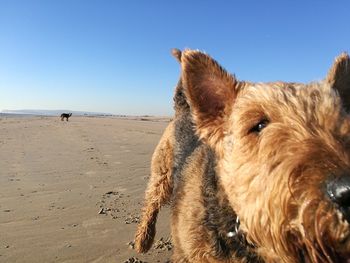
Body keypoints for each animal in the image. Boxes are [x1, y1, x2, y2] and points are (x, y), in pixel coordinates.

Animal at [135, 48, 350, 262]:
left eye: (342, 122)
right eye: (259, 125)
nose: (346, 190)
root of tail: (184, 108)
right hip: (161, 173)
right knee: (150, 204)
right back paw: (143, 241)